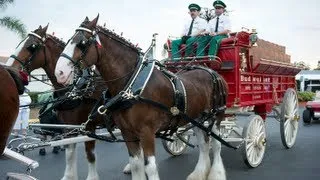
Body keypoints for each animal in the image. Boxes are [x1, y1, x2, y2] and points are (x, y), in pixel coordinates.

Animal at [6, 25, 113, 180]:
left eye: (31, 46)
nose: (7, 70)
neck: (77, 87)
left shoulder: (87, 126)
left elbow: (89, 154)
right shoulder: (70, 126)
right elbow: (71, 153)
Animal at [55, 15, 230, 180]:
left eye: (82, 43)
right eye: (69, 40)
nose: (60, 72)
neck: (132, 86)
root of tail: (212, 71)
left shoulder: (147, 132)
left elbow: (150, 167)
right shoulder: (127, 132)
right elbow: (136, 164)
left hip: (216, 115)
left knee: (216, 144)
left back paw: (216, 173)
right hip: (197, 118)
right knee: (204, 143)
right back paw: (199, 173)